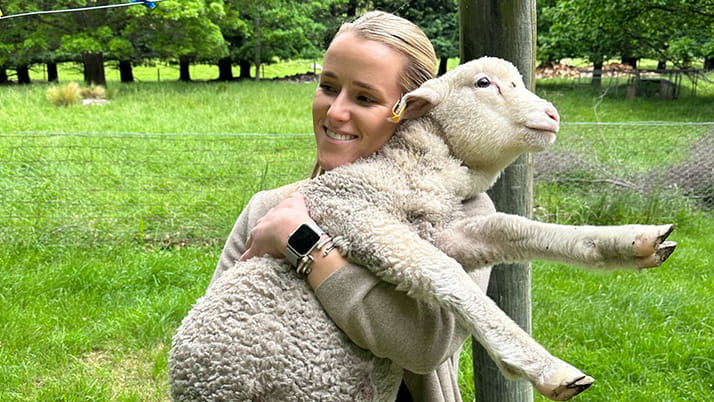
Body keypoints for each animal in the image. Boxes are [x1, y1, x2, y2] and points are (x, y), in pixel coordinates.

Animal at [169, 57, 676, 401]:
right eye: (484, 83)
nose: (552, 115)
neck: (413, 169)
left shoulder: (446, 230)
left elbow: (514, 229)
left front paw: (632, 242)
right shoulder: (358, 215)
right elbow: (446, 275)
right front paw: (544, 367)